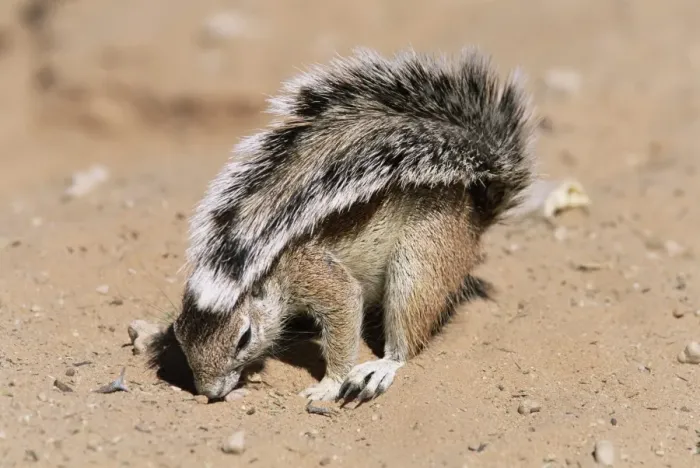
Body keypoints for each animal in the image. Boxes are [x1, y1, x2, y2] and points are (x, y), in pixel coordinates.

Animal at [147, 47, 537, 403]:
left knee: (407, 336)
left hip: (422, 258)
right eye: (178, 333)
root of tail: (475, 213)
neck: (262, 264)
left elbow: (346, 310)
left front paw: (329, 385)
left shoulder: (316, 274)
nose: (208, 393)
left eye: (244, 338)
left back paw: (380, 368)